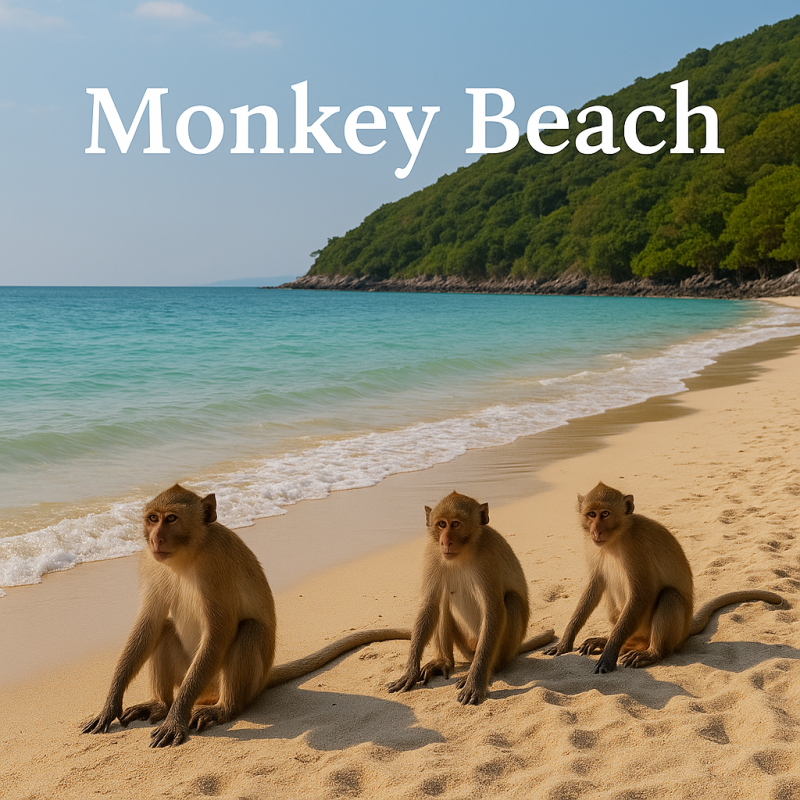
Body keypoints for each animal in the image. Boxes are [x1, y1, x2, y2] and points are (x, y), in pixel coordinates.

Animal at [82, 484, 410, 747]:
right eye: (153, 518)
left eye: (171, 519)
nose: (156, 539)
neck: (188, 555)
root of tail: (264, 677)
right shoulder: (150, 564)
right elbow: (149, 624)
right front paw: (110, 705)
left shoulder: (216, 566)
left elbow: (221, 630)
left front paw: (175, 720)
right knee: (164, 629)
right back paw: (161, 704)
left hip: (233, 683)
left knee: (249, 629)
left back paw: (223, 709)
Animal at [387, 491, 554, 705]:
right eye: (441, 524)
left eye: (456, 524)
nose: (445, 542)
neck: (463, 553)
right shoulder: (432, 553)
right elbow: (430, 605)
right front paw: (410, 673)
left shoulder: (488, 559)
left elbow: (493, 611)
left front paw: (475, 683)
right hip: (463, 643)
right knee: (442, 602)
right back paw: (443, 662)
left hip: (497, 649)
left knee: (512, 601)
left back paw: (489, 669)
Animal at [545, 482, 783, 674]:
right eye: (591, 515)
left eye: (605, 514)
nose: (596, 532)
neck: (616, 538)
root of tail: (686, 628)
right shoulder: (592, 548)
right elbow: (595, 587)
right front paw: (565, 642)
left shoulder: (636, 548)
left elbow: (642, 594)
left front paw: (609, 654)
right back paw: (615, 641)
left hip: (668, 633)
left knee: (669, 595)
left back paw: (652, 652)